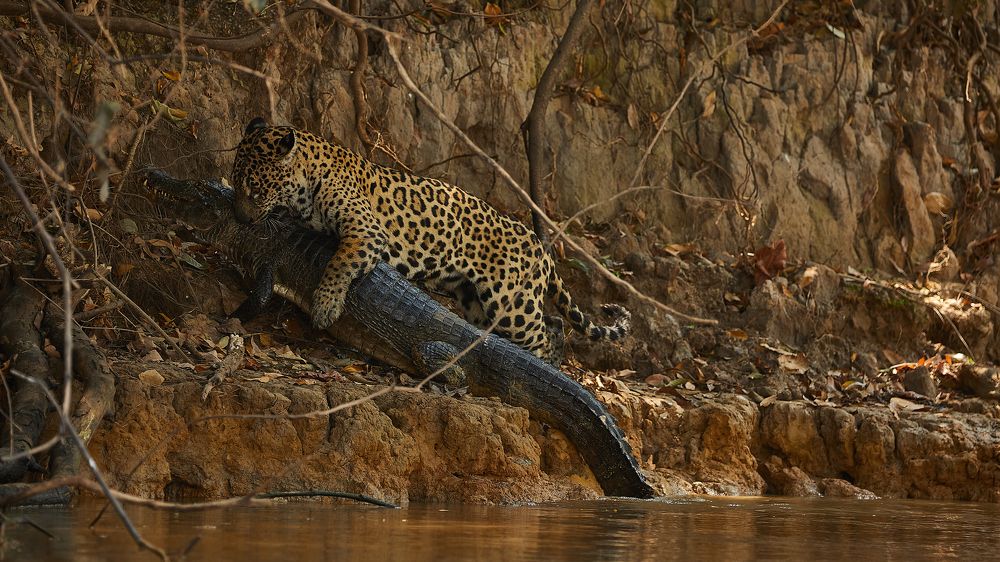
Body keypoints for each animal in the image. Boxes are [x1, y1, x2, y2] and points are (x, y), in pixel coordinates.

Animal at [231, 118, 629, 364]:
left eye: (254, 188)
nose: (240, 218)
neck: (306, 178)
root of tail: (540, 246)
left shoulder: (366, 231)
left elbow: (341, 263)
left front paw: (326, 306)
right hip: (474, 301)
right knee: (551, 324)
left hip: (510, 304)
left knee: (546, 332)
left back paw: (548, 364)